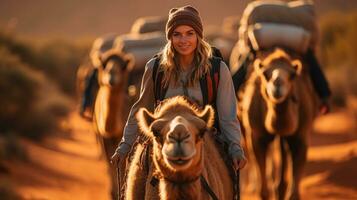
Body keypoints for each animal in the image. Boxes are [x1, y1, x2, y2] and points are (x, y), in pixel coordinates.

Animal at [92, 49, 136, 199]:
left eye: (123, 66)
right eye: (104, 65)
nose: (111, 74)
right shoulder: (103, 136)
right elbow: (109, 160)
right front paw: (112, 192)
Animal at [236, 47, 318, 199]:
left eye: (292, 75)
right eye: (265, 74)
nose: (278, 84)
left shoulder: (301, 135)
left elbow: (294, 193)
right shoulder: (257, 135)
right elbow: (263, 190)